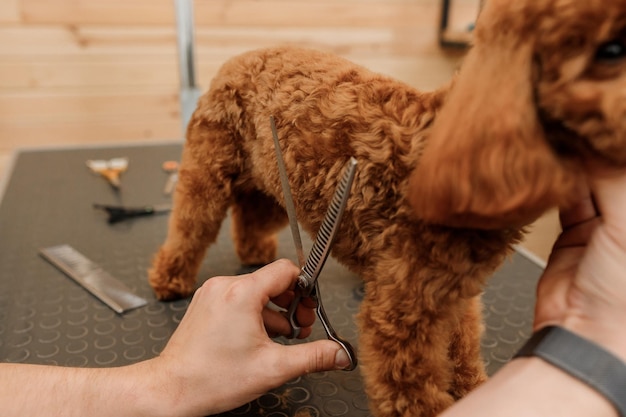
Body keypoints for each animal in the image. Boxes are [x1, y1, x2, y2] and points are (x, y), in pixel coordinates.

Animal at [149, 1, 624, 414]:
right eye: (613, 50)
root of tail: (237, 59)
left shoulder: (453, 293)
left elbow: (463, 348)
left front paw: (473, 388)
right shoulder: (401, 313)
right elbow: (411, 390)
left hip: (275, 186)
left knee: (250, 215)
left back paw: (253, 252)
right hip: (208, 172)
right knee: (191, 223)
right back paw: (170, 278)